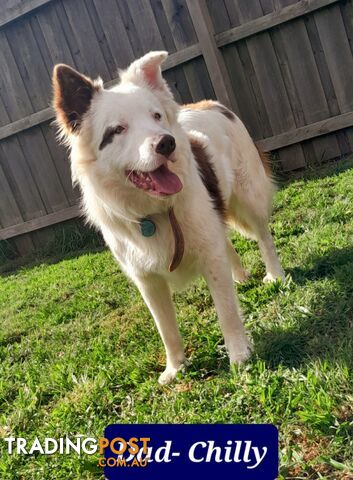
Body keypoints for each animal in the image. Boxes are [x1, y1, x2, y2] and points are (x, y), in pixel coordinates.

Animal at [52, 50, 284, 384]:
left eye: (156, 116)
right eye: (117, 130)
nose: (166, 143)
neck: (154, 211)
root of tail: (210, 103)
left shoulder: (208, 254)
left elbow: (226, 311)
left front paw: (239, 355)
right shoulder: (146, 279)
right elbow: (165, 328)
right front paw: (175, 368)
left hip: (248, 196)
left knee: (264, 237)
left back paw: (275, 275)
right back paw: (239, 276)